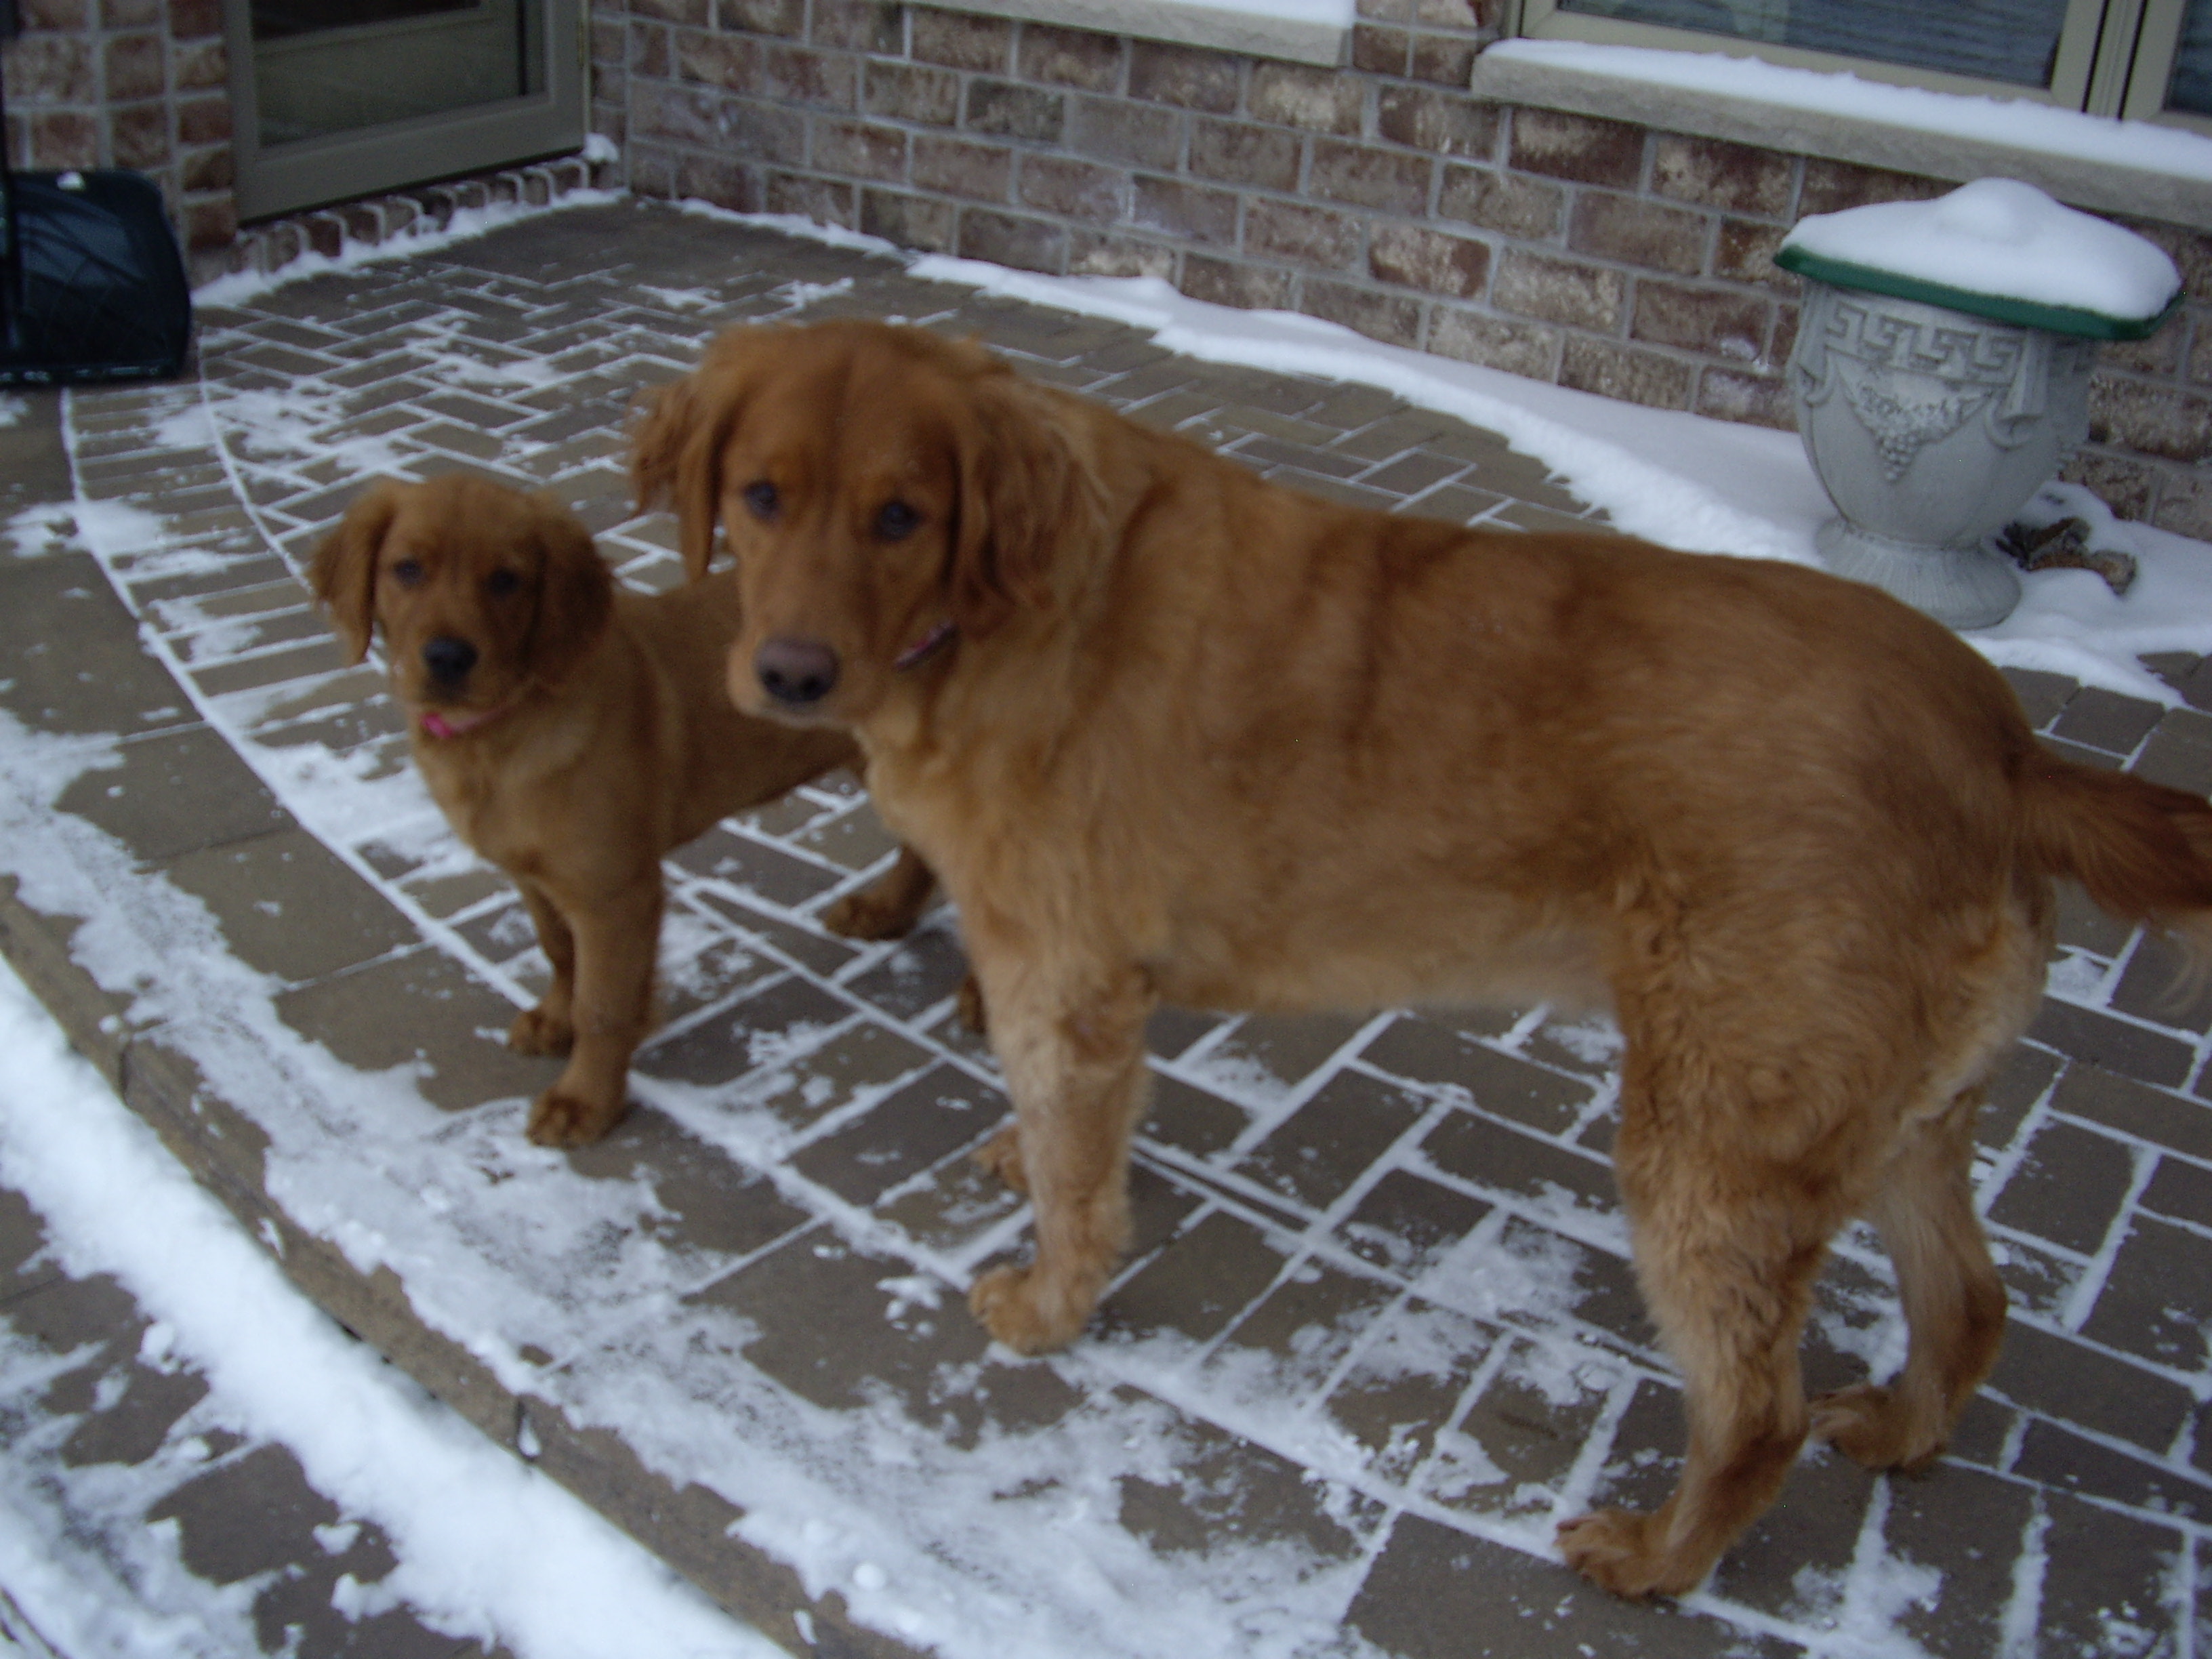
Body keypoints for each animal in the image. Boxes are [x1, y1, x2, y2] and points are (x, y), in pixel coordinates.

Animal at [312, 473, 933, 1150]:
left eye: (505, 580)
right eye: (406, 569)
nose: (449, 658)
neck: (506, 727)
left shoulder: (614, 892)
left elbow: (604, 1007)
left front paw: (584, 1101)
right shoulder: (535, 875)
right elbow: (560, 952)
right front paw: (554, 1021)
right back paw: (886, 912)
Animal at [632, 319, 2212, 1601]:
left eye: (901, 516)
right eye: (760, 497)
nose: (788, 679)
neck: (1004, 603)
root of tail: (2003, 747)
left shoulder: (1060, 973)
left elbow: (1080, 1182)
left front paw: (1046, 1307)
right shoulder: (1077, 991)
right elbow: (1063, 1129)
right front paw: (1024, 1168)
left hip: (1719, 1135)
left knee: (1754, 1408)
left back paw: (1660, 1557)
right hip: (1893, 1110)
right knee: (1972, 1300)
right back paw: (1897, 1427)